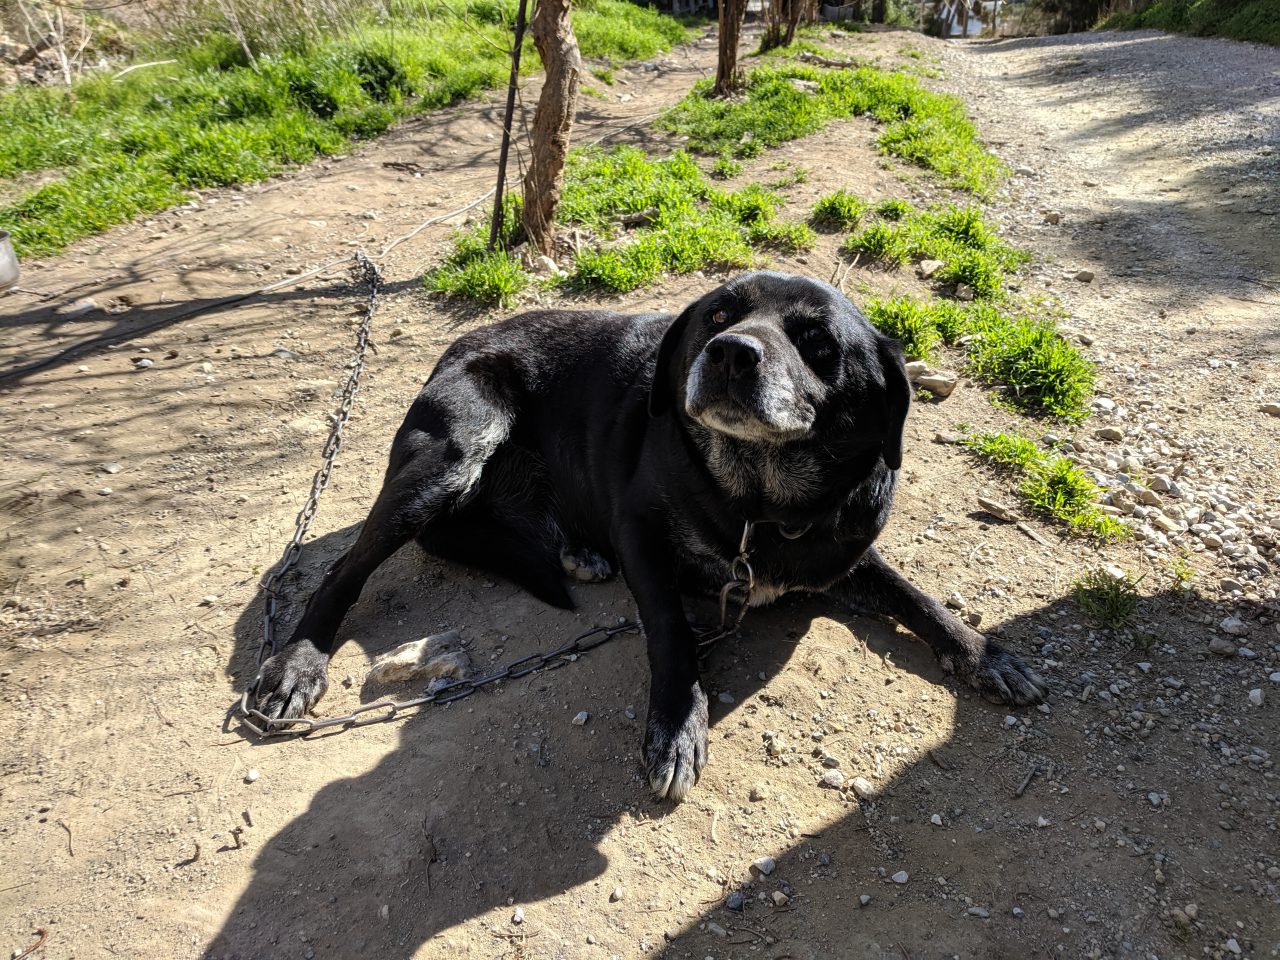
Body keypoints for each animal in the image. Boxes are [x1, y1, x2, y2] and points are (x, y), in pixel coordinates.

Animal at [254, 271, 1044, 803]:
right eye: (718, 313)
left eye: (818, 341)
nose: (730, 352)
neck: (756, 500)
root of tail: (460, 340)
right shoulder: (640, 534)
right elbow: (670, 630)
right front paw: (678, 724)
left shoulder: (845, 547)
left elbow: (917, 596)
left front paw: (985, 653)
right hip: (449, 453)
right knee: (350, 566)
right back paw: (296, 664)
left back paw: (574, 549)